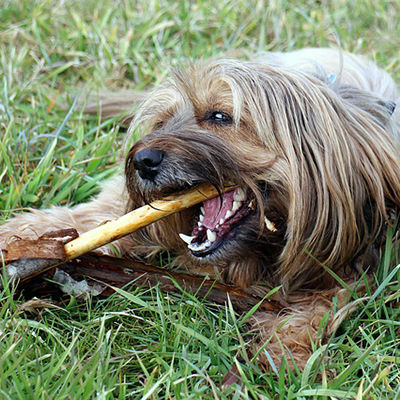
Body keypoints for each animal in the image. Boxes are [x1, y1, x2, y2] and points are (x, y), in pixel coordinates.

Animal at [0, 48, 400, 370]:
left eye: (220, 116)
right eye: (162, 122)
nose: (143, 161)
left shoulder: (355, 261)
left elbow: (321, 304)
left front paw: (285, 354)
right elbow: (96, 216)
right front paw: (23, 238)